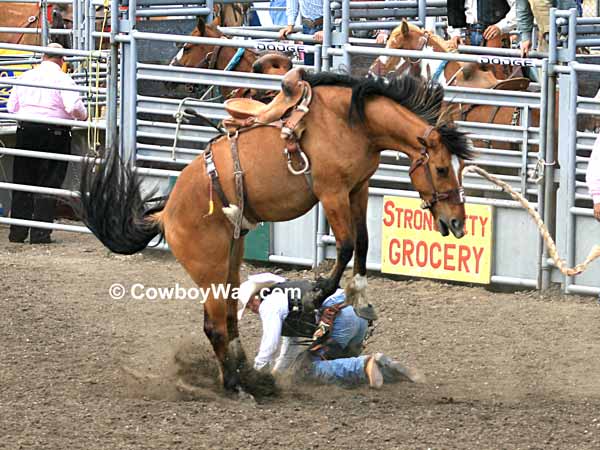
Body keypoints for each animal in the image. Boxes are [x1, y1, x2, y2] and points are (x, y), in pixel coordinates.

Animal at [78, 68, 474, 396]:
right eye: (441, 169)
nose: (457, 223)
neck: (351, 122)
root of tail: (167, 212)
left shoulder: (358, 189)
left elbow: (362, 243)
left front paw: (360, 298)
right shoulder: (331, 192)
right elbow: (345, 245)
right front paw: (317, 294)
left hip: (230, 256)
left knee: (228, 318)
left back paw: (244, 376)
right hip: (207, 266)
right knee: (215, 325)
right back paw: (237, 386)